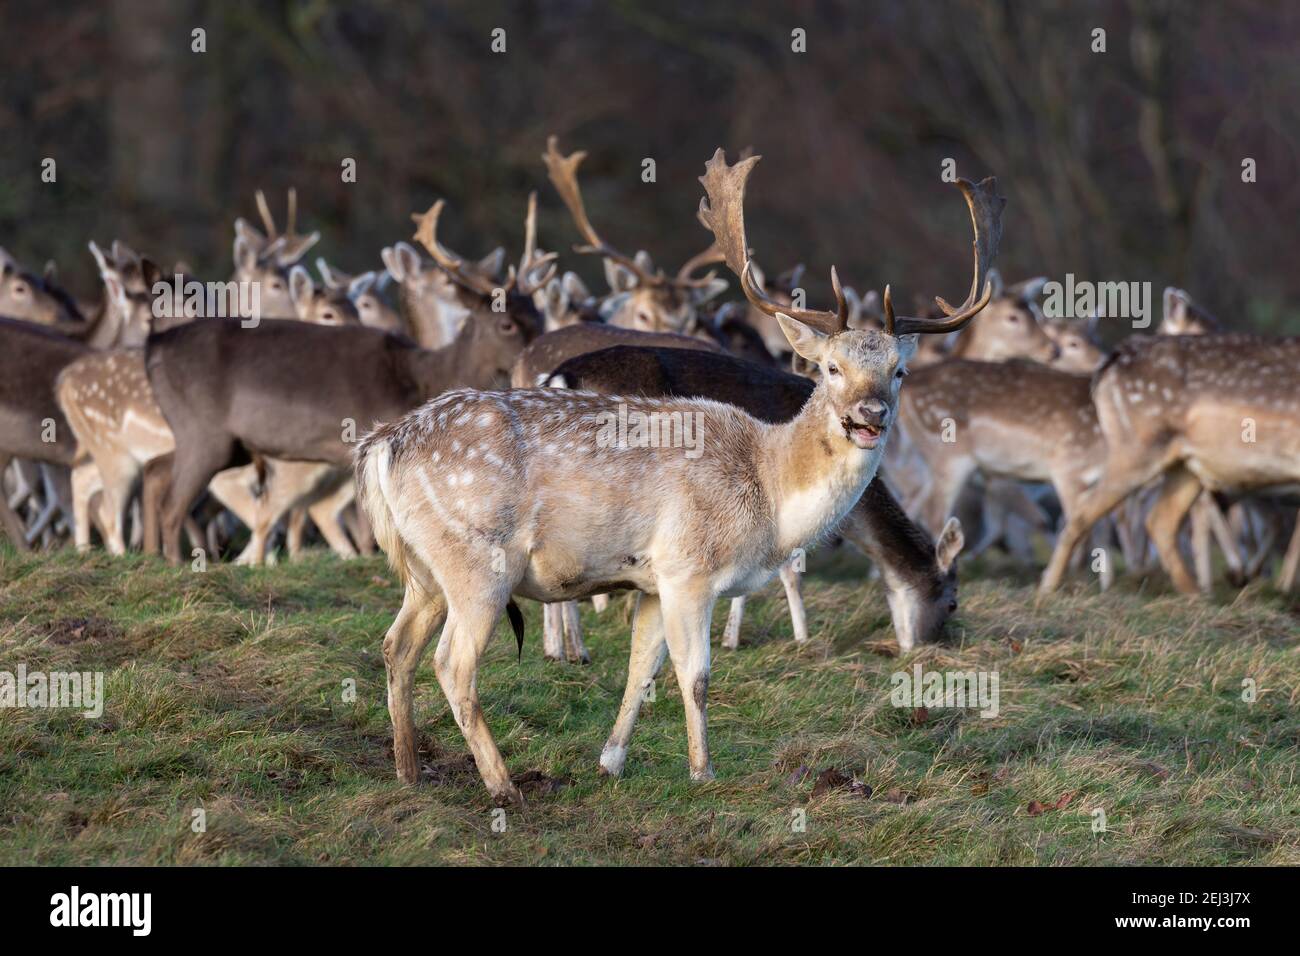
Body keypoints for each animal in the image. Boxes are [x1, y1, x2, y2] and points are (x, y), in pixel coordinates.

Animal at [146, 195, 554, 563]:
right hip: (204, 432)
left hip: (224, 443)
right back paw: (179, 565)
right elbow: (368, 524)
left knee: (156, 473)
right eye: (506, 323)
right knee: (171, 504)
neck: (420, 377)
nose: (541, 349)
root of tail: (154, 346)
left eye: (538, 314)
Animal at [353, 147, 1001, 803]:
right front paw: (702, 770)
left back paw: (409, 770)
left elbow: (641, 670)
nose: (870, 415)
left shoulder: (649, 579)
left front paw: (610, 761)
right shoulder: (689, 567)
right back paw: (503, 784)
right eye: (830, 367)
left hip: (424, 567)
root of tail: (383, 445)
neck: (770, 491)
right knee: (451, 664)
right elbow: (696, 675)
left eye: (898, 371)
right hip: (476, 559)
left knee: (395, 646)